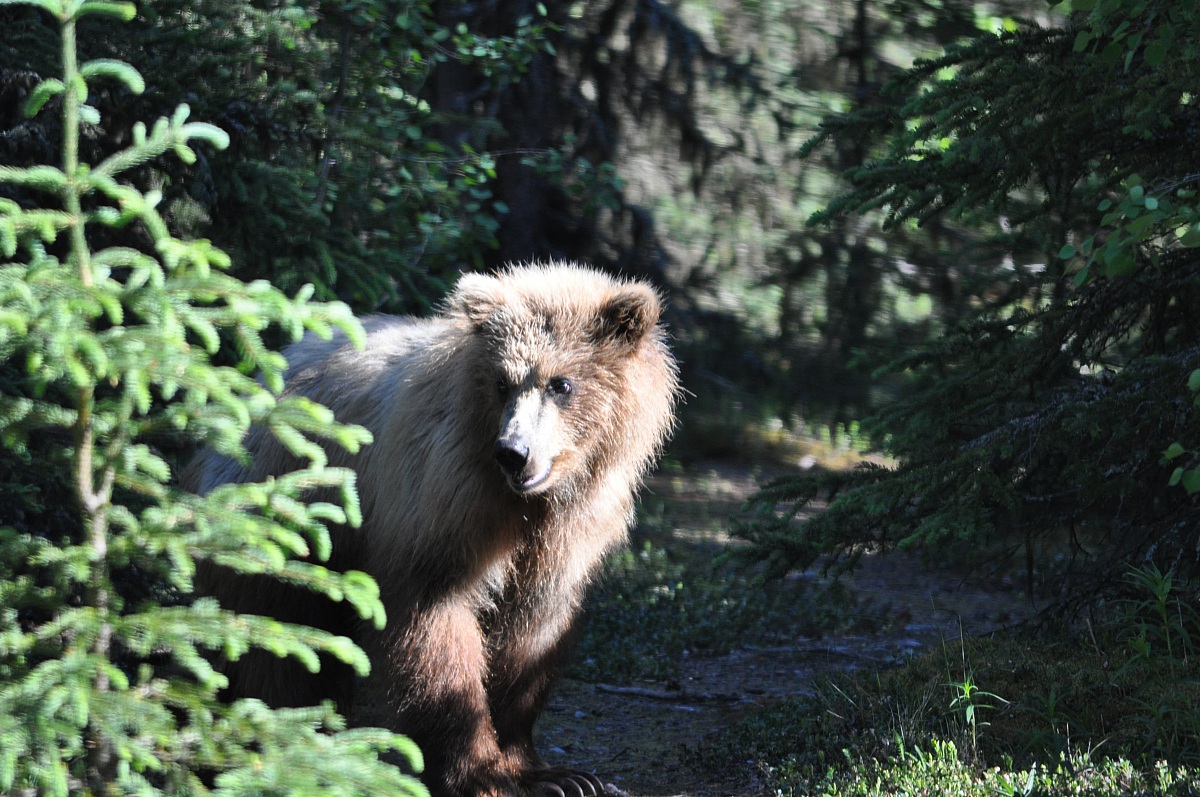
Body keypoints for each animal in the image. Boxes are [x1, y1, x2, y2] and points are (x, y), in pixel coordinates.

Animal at [185, 262, 680, 797]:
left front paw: (552, 773)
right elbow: (436, 621)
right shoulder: (444, 498)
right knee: (277, 632)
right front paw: (483, 772)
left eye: (560, 384)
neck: (529, 503)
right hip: (285, 507)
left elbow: (532, 635)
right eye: (503, 382)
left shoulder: (572, 529)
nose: (515, 452)